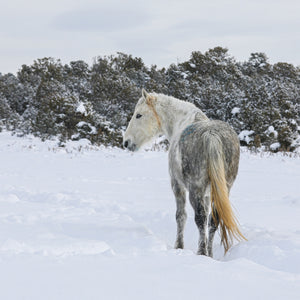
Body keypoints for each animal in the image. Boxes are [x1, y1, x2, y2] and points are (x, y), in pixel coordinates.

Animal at [123, 88, 245, 255]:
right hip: (223, 188)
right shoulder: (208, 194)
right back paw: (209, 254)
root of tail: (211, 135)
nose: (126, 142)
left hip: (195, 189)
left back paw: (201, 253)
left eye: (139, 115)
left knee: (200, 219)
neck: (181, 121)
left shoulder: (177, 186)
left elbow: (181, 216)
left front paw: (179, 246)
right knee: (214, 220)